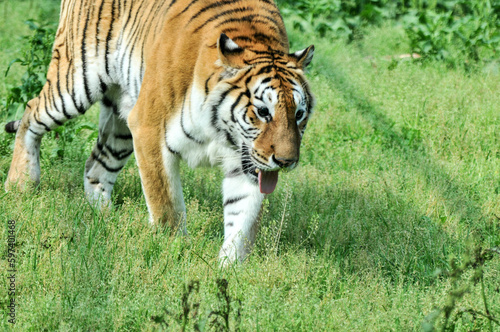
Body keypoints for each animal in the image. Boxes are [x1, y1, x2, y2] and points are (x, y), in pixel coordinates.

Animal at [3, 0, 314, 264]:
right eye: (263, 112)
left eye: (298, 114)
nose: (286, 161)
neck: (221, 131)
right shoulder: (149, 129)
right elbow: (166, 206)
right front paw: (174, 254)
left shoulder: (243, 162)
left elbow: (243, 217)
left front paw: (230, 270)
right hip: (75, 83)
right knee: (31, 111)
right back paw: (20, 183)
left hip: (121, 123)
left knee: (95, 166)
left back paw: (104, 218)